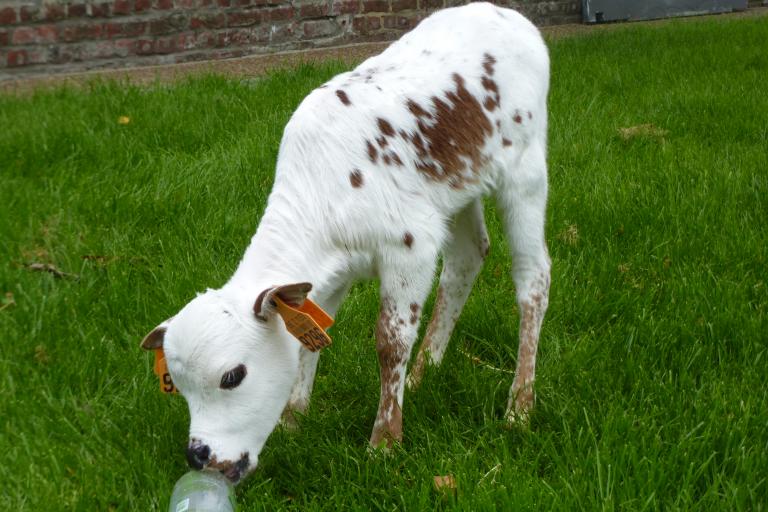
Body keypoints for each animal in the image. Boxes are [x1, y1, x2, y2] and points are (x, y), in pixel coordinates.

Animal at [141, 2, 548, 484]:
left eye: (232, 376)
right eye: (177, 387)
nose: (200, 456)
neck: (323, 195)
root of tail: (510, 16)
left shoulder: (411, 244)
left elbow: (390, 340)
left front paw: (384, 443)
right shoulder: (328, 274)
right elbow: (309, 338)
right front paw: (294, 420)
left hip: (525, 167)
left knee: (533, 278)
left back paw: (519, 407)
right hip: (460, 184)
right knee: (469, 256)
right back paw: (423, 375)